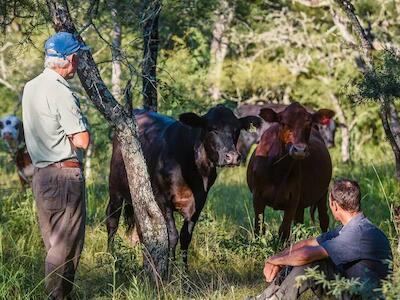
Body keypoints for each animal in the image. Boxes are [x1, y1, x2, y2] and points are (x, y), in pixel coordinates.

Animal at [247, 102, 334, 240]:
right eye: (283, 123)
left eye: (308, 124)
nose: (299, 150)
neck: (278, 172)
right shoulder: (257, 195)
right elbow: (259, 227)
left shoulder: (293, 198)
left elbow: (284, 230)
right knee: (299, 222)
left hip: (323, 192)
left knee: (323, 219)